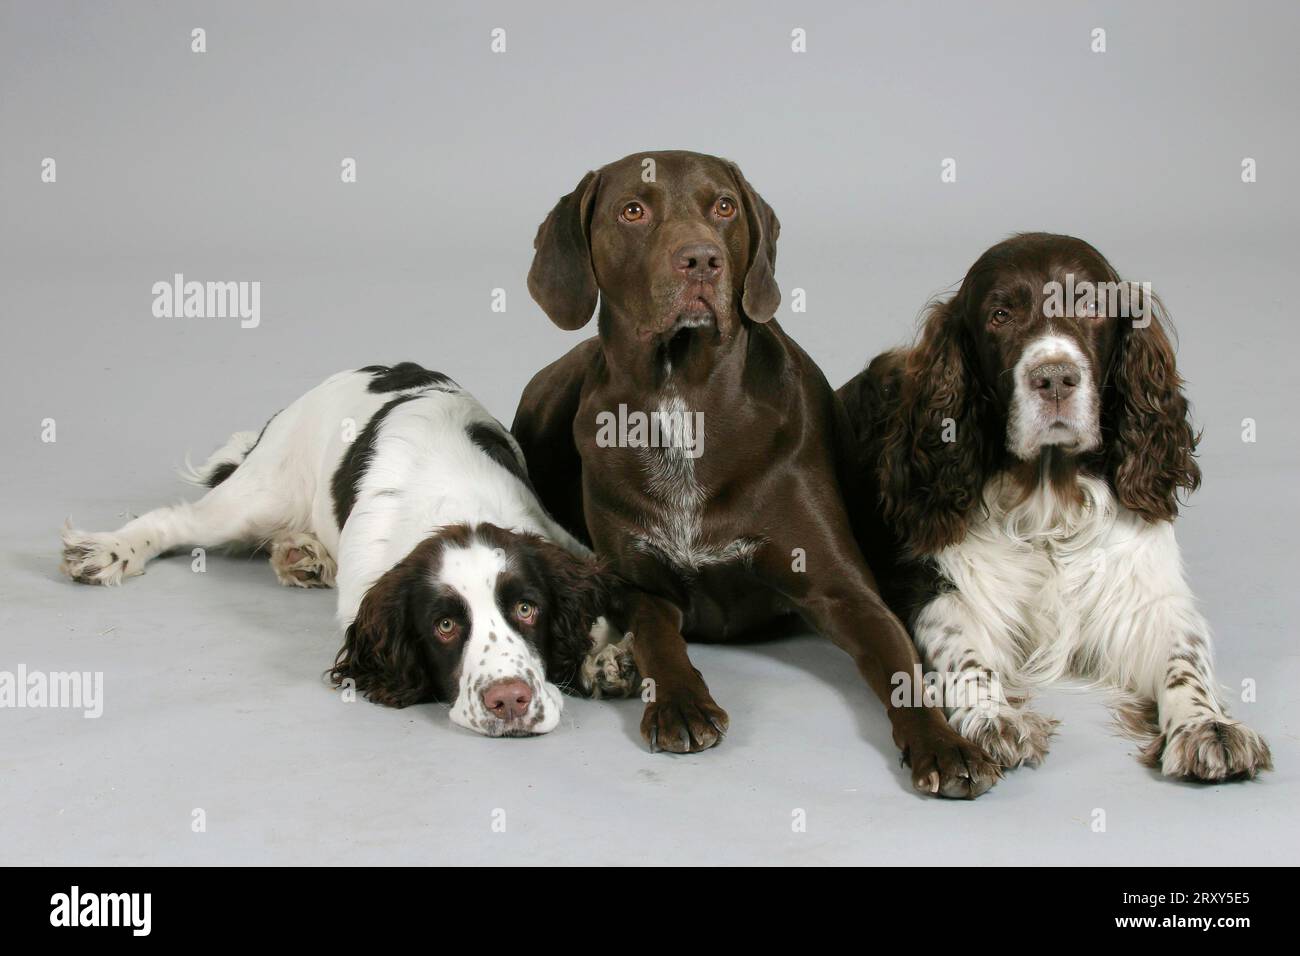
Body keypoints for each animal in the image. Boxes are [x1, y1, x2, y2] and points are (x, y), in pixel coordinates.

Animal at [61, 361, 639, 738]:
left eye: (526, 608)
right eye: (444, 625)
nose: (509, 701)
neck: (456, 500)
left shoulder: (560, 541)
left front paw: (607, 661)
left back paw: (302, 555)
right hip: (261, 492)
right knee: (177, 520)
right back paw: (106, 551)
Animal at [509, 149, 993, 796]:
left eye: (723, 207)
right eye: (632, 211)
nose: (701, 259)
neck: (683, 398)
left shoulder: (844, 590)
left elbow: (900, 669)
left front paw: (944, 744)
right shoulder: (638, 584)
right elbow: (658, 637)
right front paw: (680, 702)